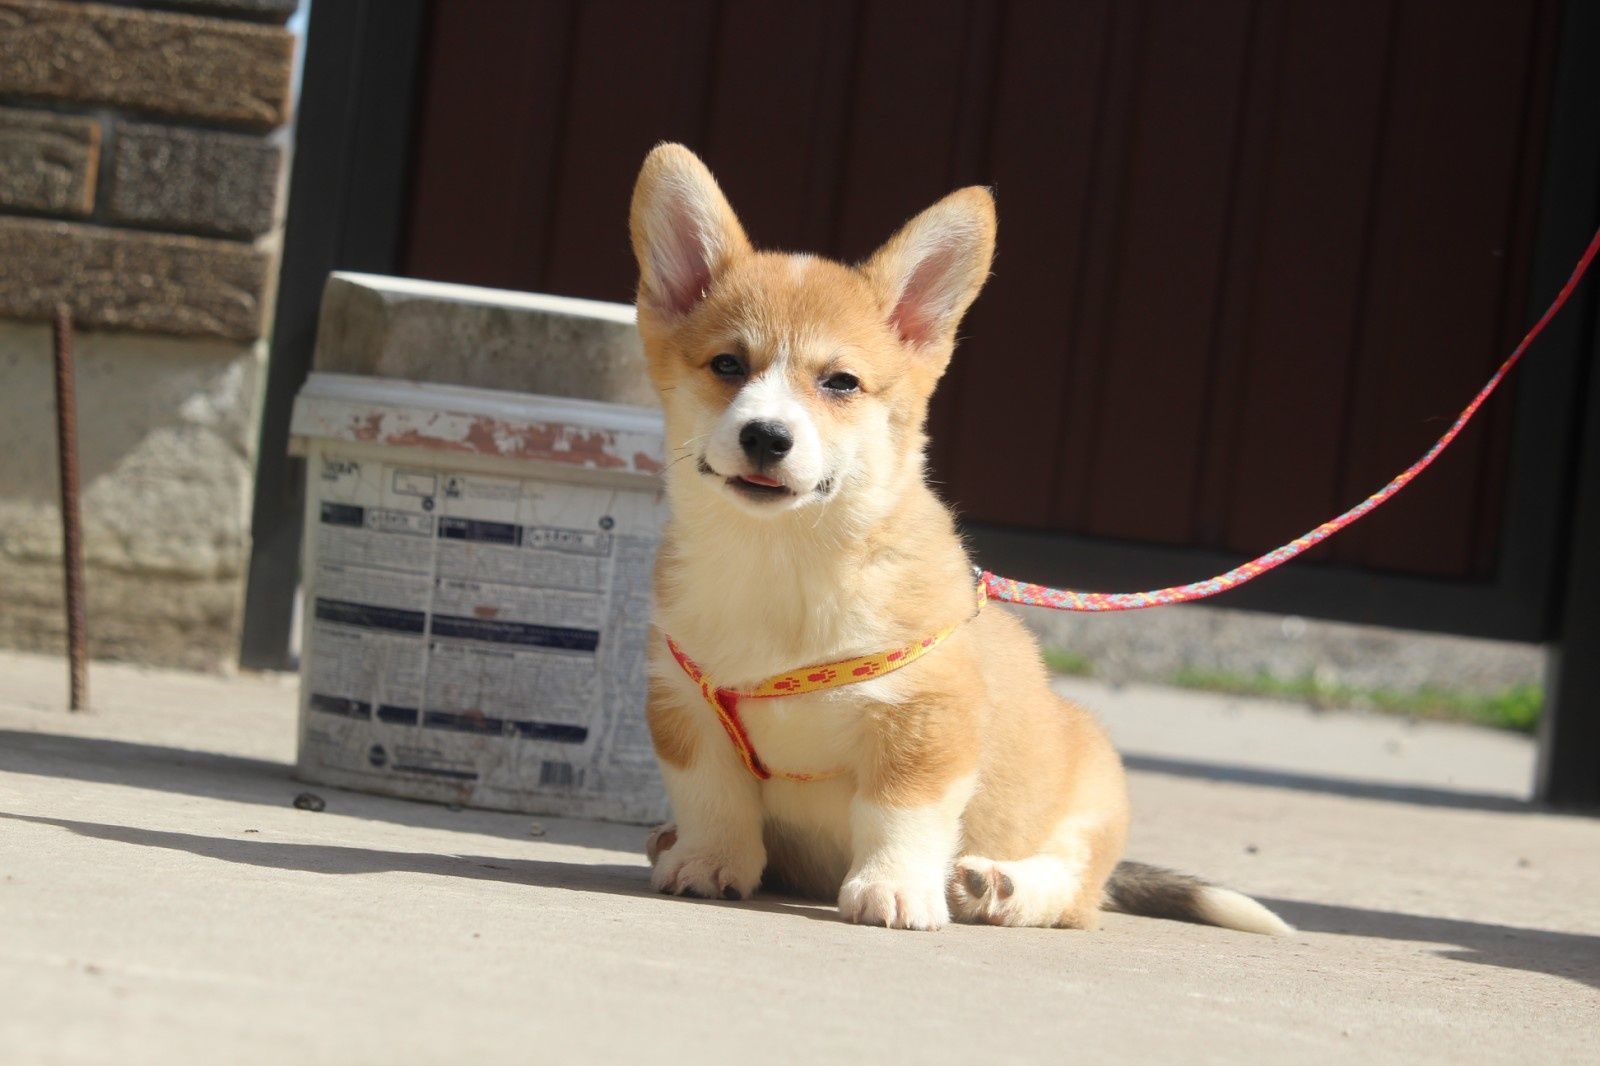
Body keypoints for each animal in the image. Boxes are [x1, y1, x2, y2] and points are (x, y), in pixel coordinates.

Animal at [630, 143, 1292, 928]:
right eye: (728, 365)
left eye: (841, 382)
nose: (766, 437)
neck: (785, 559)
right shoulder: (686, 709)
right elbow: (713, 801)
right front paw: (707, 862)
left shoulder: (926, 721)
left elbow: (899, 814)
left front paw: (892, 889)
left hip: (1096, 787)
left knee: (1074, 887)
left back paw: (999, 887)